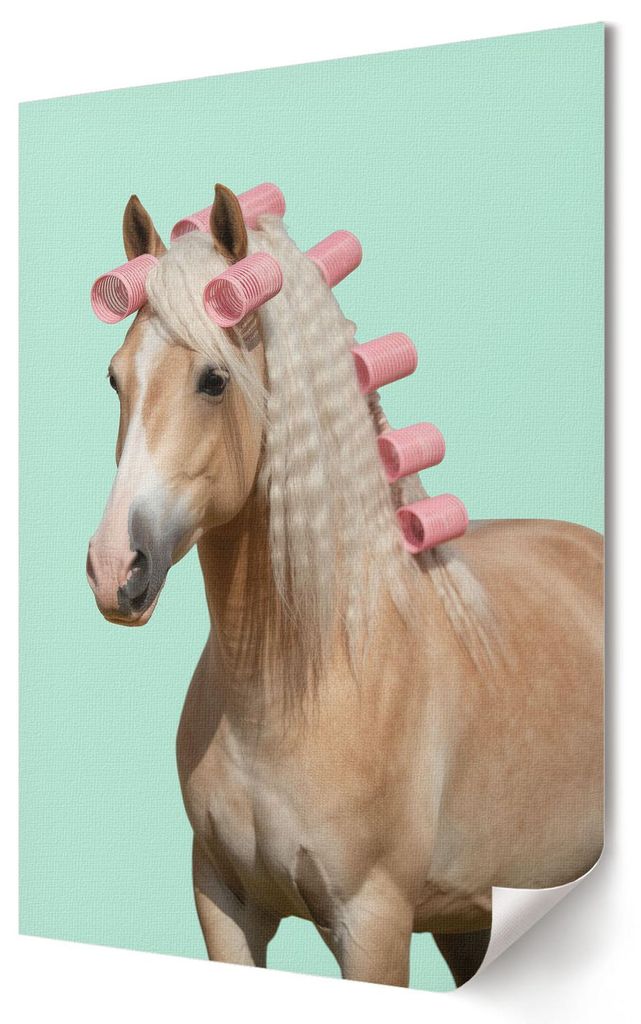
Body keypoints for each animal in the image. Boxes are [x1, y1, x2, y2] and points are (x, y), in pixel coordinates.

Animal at [86, 185, 603, 988]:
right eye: (116, 378)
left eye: (214, 379)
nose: (117, 568)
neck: (301, 678)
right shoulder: (224, 907)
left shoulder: (372, 923)